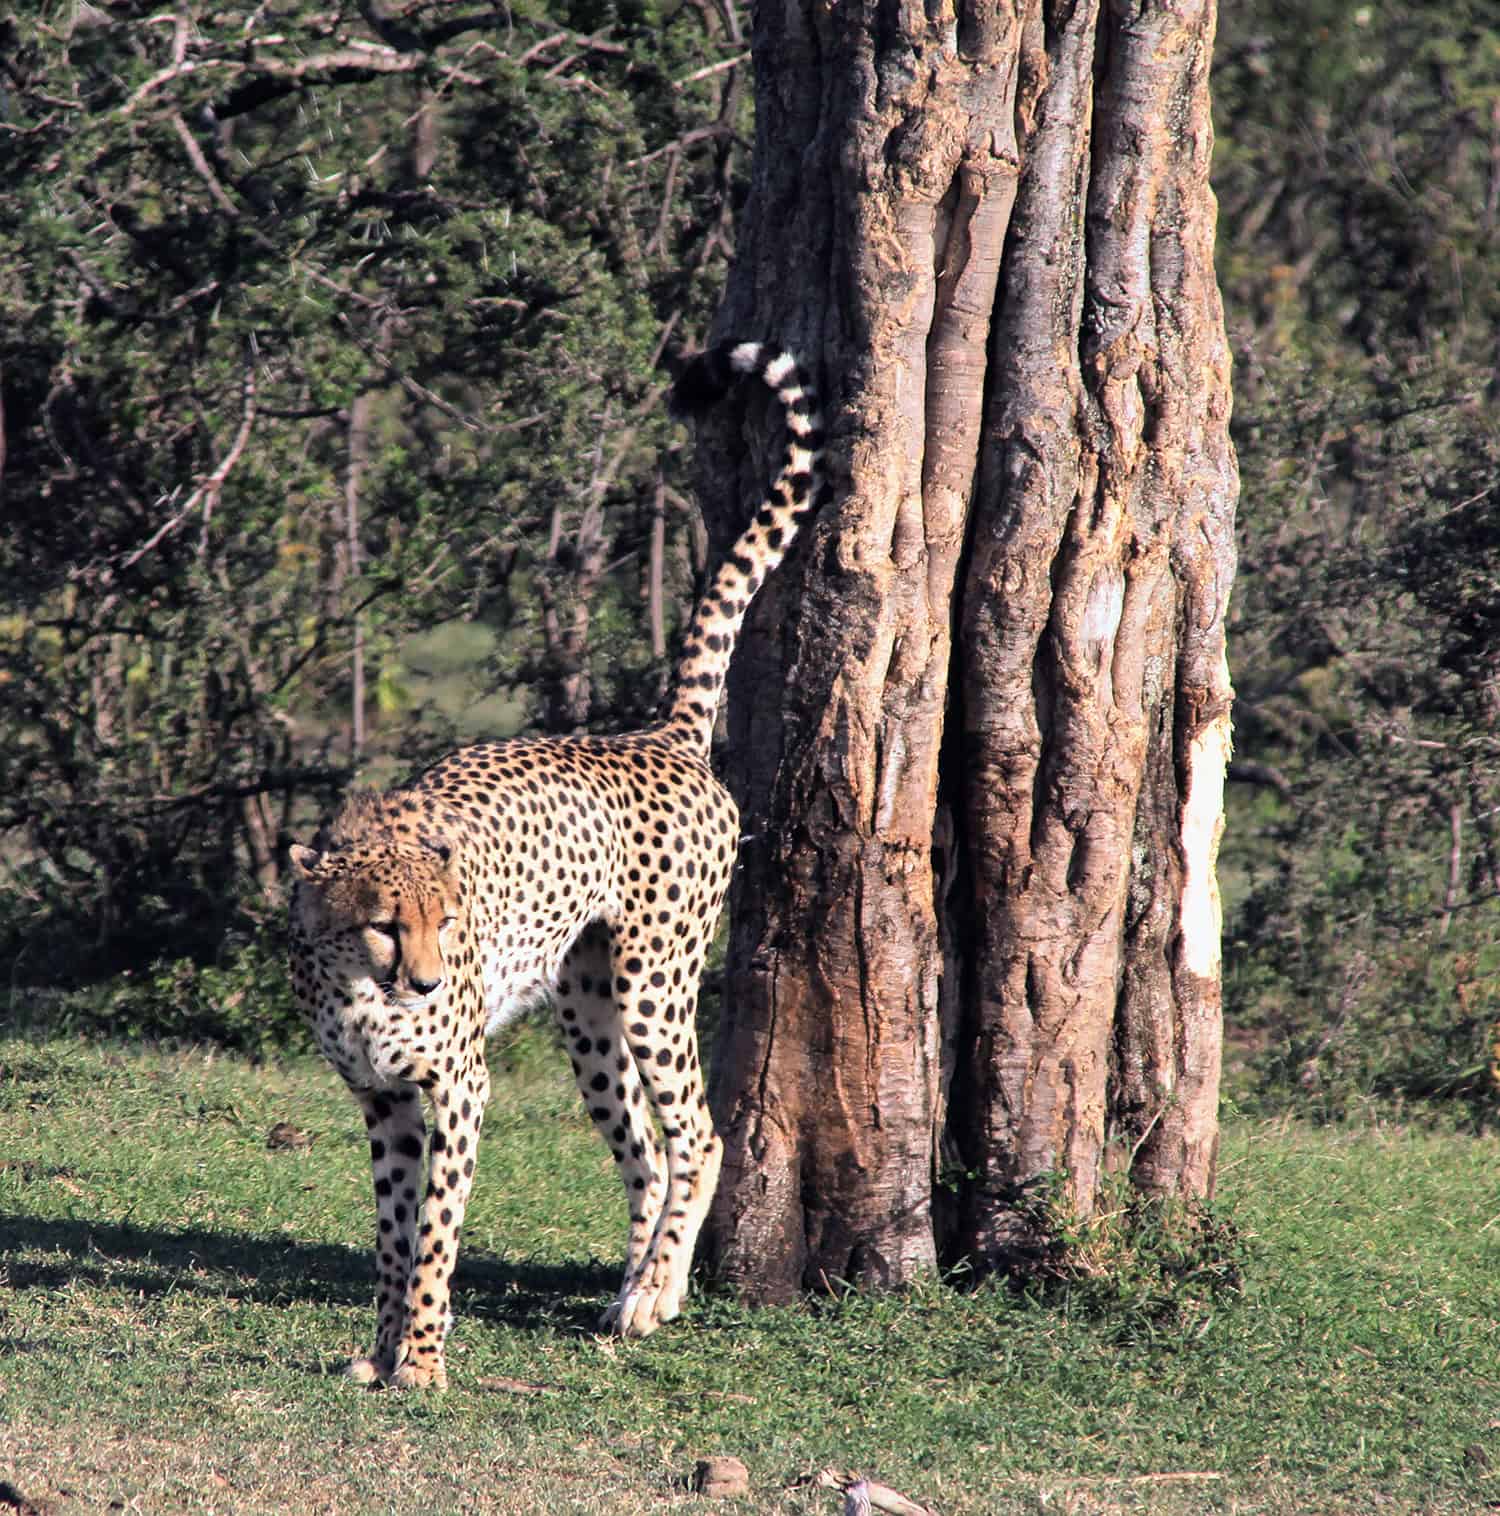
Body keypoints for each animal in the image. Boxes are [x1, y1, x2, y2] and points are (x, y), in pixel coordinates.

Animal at [287, 341, 826, 1389]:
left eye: (446, 921)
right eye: (385, 924)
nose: (424, 981)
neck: (361, 989)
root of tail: (660, 736)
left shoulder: (460, 1087)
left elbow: (436, 1235)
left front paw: (421, 1358)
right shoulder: (382, 1098)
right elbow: (391, 1233)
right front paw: (378, 1350)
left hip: (656, 986)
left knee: (700, 1135)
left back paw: (655, 1297)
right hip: (587, 1012)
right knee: (647, 1152)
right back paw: (635, 1288)